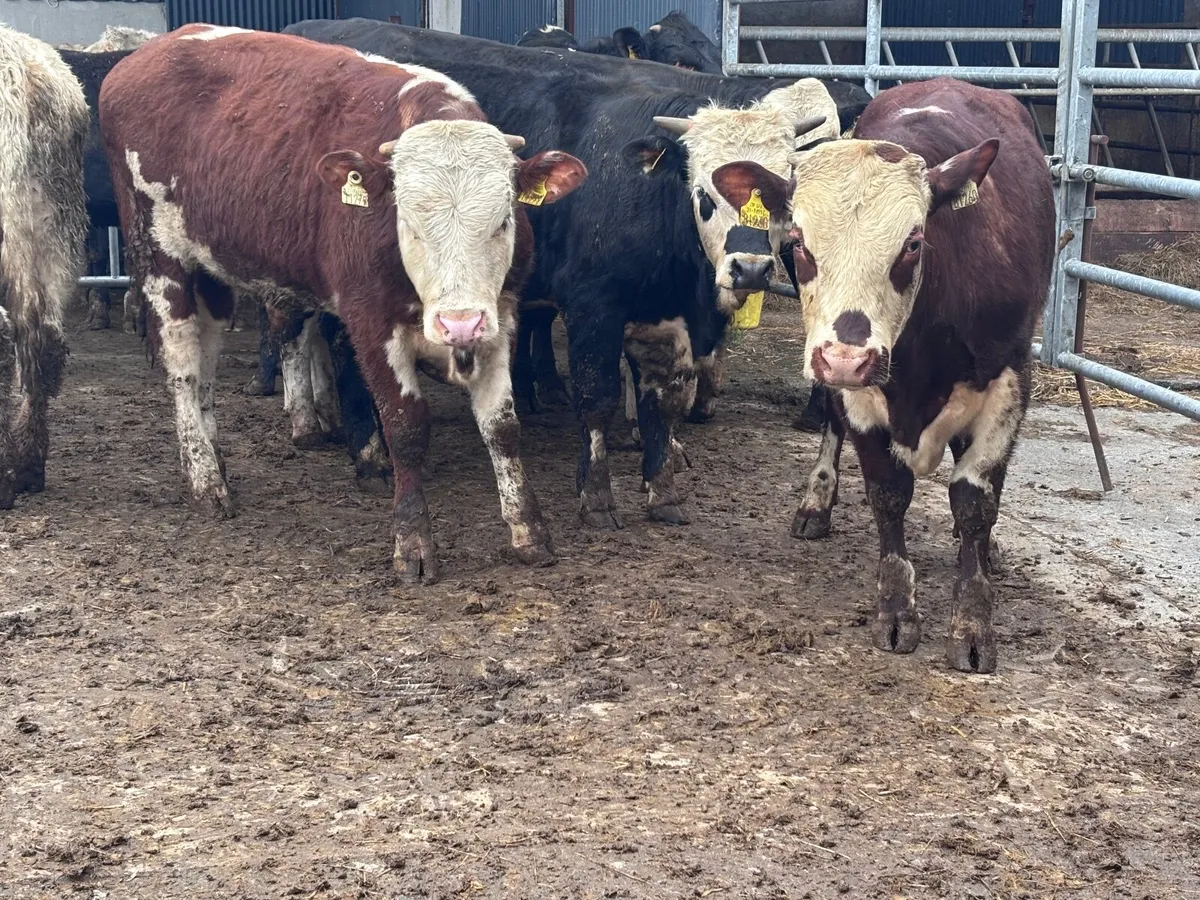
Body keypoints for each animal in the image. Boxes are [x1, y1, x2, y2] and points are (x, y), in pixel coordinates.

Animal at [99, 26, 587, 581]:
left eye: (504, 220)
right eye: (408, 225)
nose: (458, 325)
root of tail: (146, 53)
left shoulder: (499, 316)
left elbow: (502, 427)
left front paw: (529, 531)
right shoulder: (370, 320)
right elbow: (405, 427)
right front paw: (413, 544)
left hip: (212, 272)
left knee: (205, 365)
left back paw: (212, 459)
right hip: (161, 258)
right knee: (182, 366)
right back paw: (205, 482)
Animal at [286, 18, 866, 529]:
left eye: (782, 187)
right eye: (703, 190)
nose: (750, 268)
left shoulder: (669, 315)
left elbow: (662, 399)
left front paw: (662, 486)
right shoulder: (594, 306)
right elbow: (597, 397)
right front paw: (598, 496)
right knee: (334, 344)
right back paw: (362, 450)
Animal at [709, 78, 1054, 673]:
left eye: (912, 243)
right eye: (798, 241)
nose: (846, 358)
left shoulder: (1009, 382)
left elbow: (975, 501)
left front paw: (972, 622)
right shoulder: (861, 395)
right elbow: (888, 494)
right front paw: (896, 610)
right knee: (829, 420)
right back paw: (816, 502)